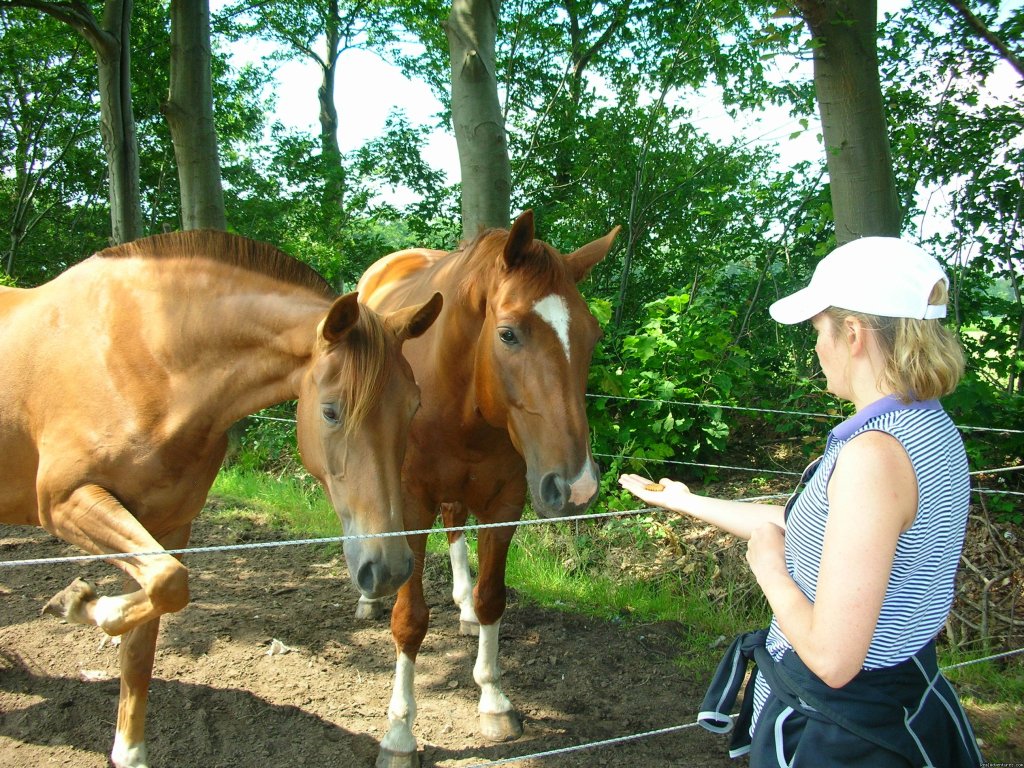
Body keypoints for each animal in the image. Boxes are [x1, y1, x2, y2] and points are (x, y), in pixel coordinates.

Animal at [0, 230, 440, 768]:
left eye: (413, 407)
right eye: (332, 411)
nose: (391, 568)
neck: (142, 359)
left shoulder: (169, 524)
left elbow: (148, 630)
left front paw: (130, 750)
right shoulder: (65, 500)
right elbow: (167, 585)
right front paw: (77, 601)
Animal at [356, 210, 618, 768]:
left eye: (593, 335)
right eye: (508, 334)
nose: (578, 486)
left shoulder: (504, 503)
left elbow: (494, 597)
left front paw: (494, 701)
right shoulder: (411, 506)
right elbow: (409, 620)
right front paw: (399, 733)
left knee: (457, 527)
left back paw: (464, 609)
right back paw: (367, 599)